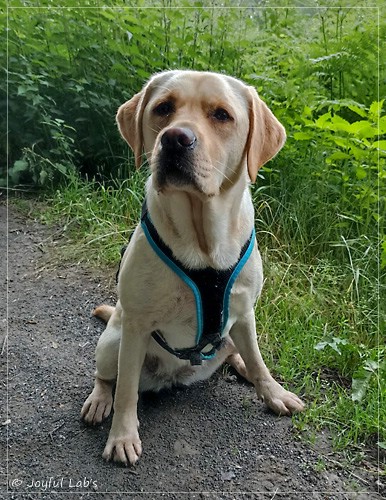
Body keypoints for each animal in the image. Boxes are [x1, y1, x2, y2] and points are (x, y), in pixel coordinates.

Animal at [81, 69, 304, 464]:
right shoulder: (136, 326)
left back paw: (240, 364)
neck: (204, 245)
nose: (175, 139)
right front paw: (122, 436)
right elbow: (126, 391)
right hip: (113, 341)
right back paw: (99, 400)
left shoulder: (245, 311)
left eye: (221, 115)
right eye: (163, 108)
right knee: (109, 377)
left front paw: (273, 392)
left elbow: (259, 361)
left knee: (238, 353)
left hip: (230, 331)